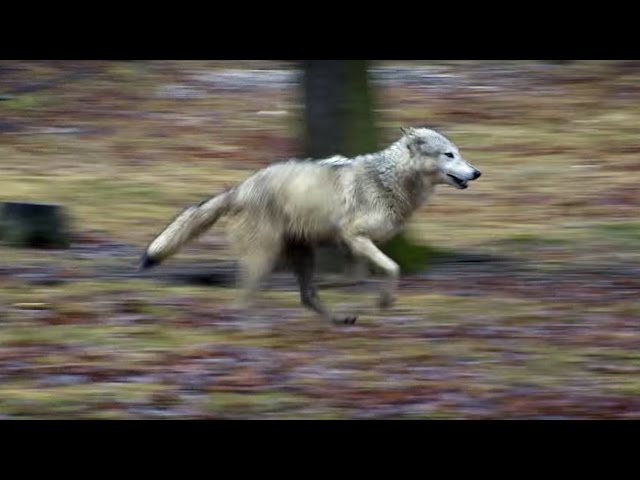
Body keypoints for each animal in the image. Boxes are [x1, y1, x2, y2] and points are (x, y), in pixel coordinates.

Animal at [139, 127, 481, 324]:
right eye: (449, 154)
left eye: (460, 154)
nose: (477, 172)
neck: (389, 179)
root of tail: (240, 188)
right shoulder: (355, 236)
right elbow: (393, 268)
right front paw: (385, 301)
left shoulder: (356, 246)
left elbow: (366, 276)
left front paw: (372, 300)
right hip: (265, 255)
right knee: (244, 293)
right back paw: (248, 325)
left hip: (304, 256)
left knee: (306, 297)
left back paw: (339, 320)